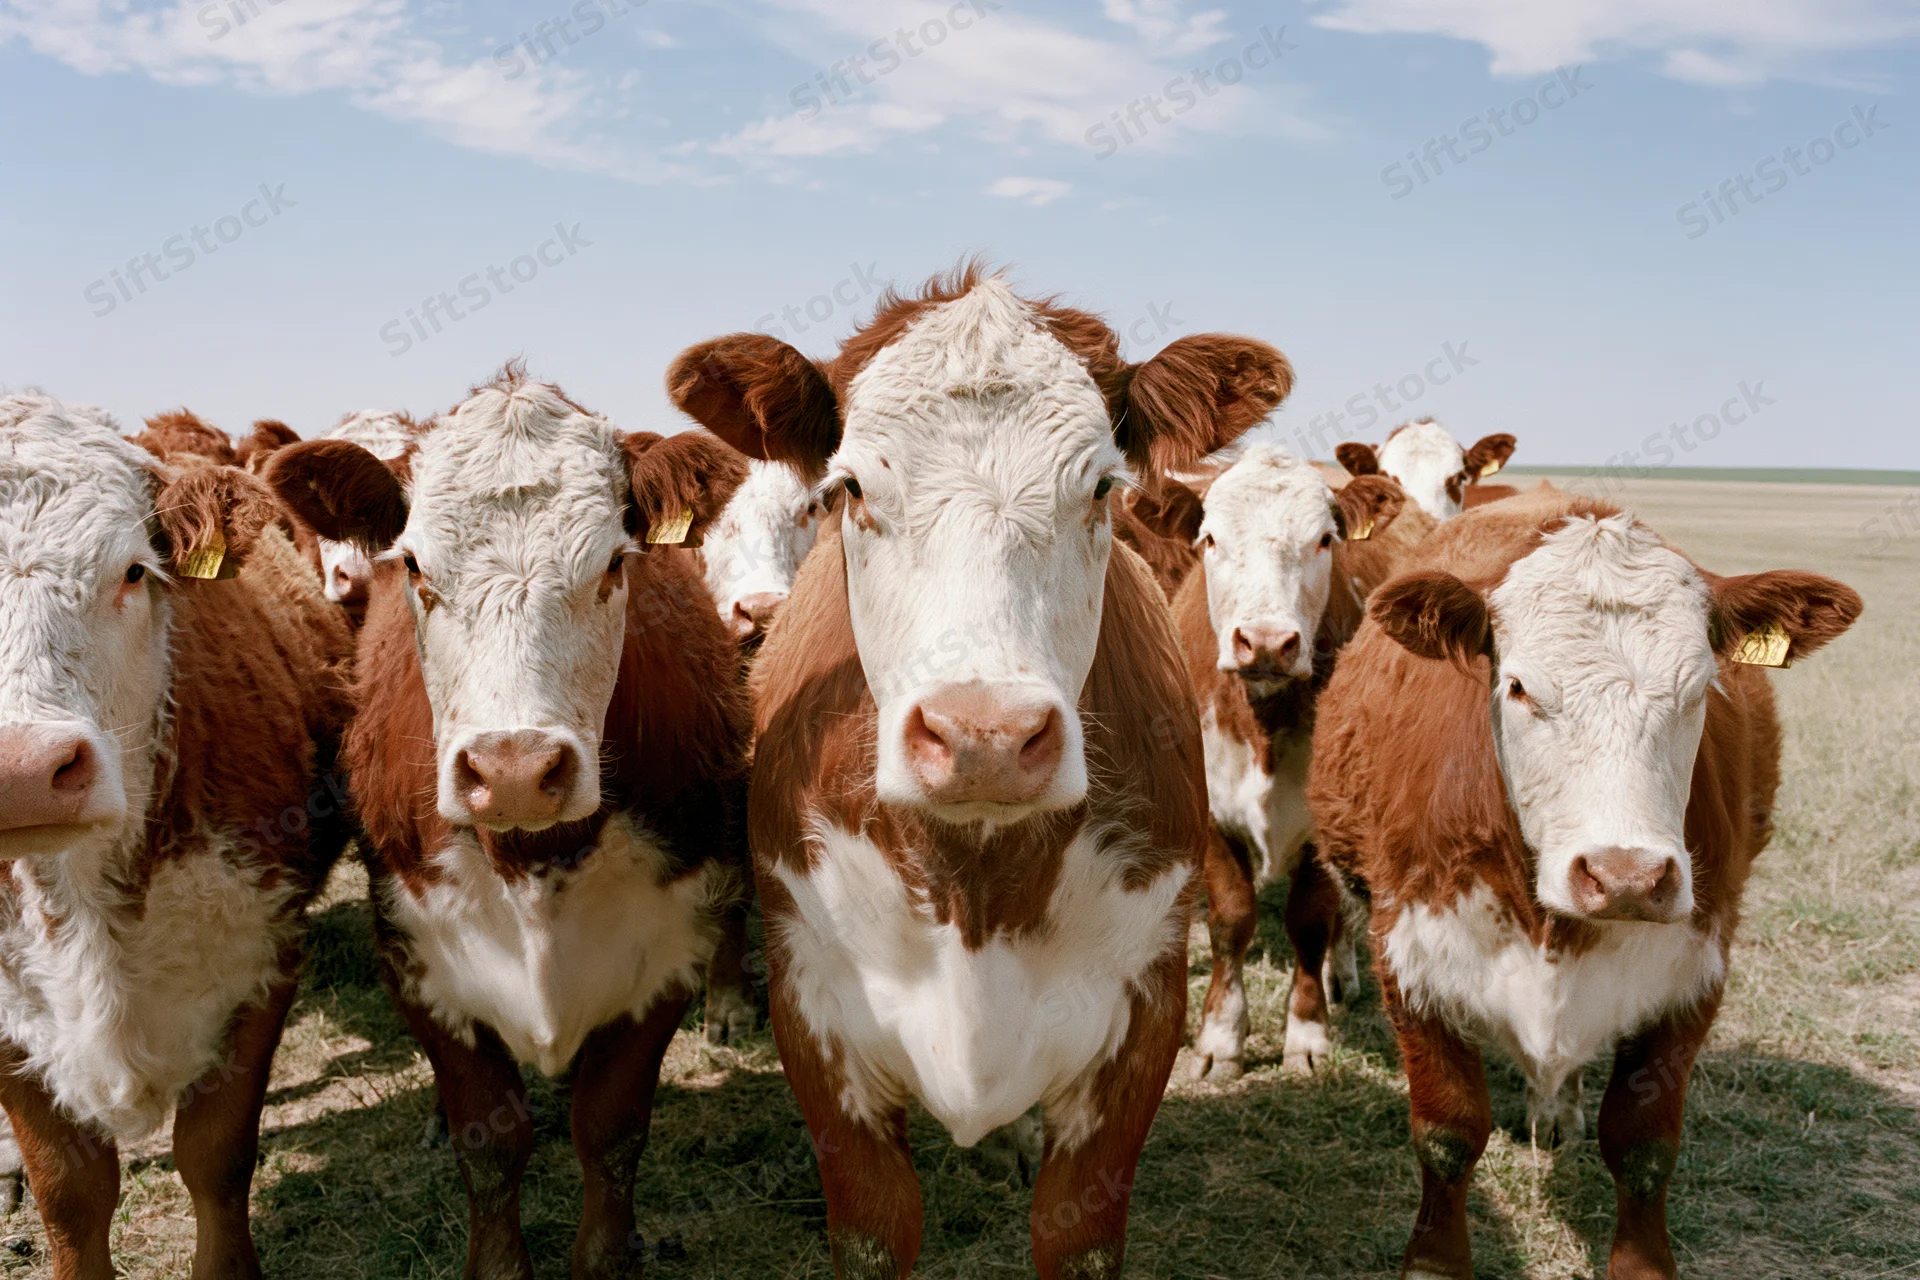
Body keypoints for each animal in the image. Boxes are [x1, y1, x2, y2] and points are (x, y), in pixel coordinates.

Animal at [266, 366, 751, 1279]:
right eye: (414, 564)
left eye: (614, 563)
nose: (516, 771)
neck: (534, 860)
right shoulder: (417, 951)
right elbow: (488, 1139)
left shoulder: (670, 942)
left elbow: (609, 1126)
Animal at [667, 265, 1294, 1279]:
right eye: (850, 488)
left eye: (1101, 487)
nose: (984, 737)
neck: (977, 877)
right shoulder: (815, 1014)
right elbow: (876, 1231)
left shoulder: (1143, 1018)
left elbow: (1076, 1237)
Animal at [1135, 444, 1416, 1082]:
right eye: (1210, 538)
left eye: (1325, 540)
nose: (1265, 642)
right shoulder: (1212, 814)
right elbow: (1232, 920)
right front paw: (1220, 1037)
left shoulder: (1320, 824)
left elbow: (1311, 921)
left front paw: (1307, 1035)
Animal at [1307, 488, 1862, 1280]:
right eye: (1517, 686)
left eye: (1702, 688)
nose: (1625, 876)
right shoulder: (1411, 956)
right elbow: (1447, 1132)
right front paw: (1436, 1257)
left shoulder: (1694, 972)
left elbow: (1644, 1143)